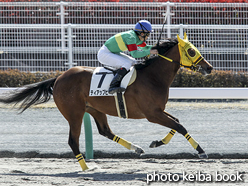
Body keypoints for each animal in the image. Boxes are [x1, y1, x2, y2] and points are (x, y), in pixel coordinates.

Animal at [0, 33, 213, 170]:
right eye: (191, 51)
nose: (209, 67)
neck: (153, 77)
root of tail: (59, 78)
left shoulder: (158, 111)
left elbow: (176, 123)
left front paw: (156, 143)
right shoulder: (152, 114)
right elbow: (180, 126)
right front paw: (201, 151)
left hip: (95, 109)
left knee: (105, 131)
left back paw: (137, 148)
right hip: (74, 113)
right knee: (73, 140)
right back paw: (86, 168)